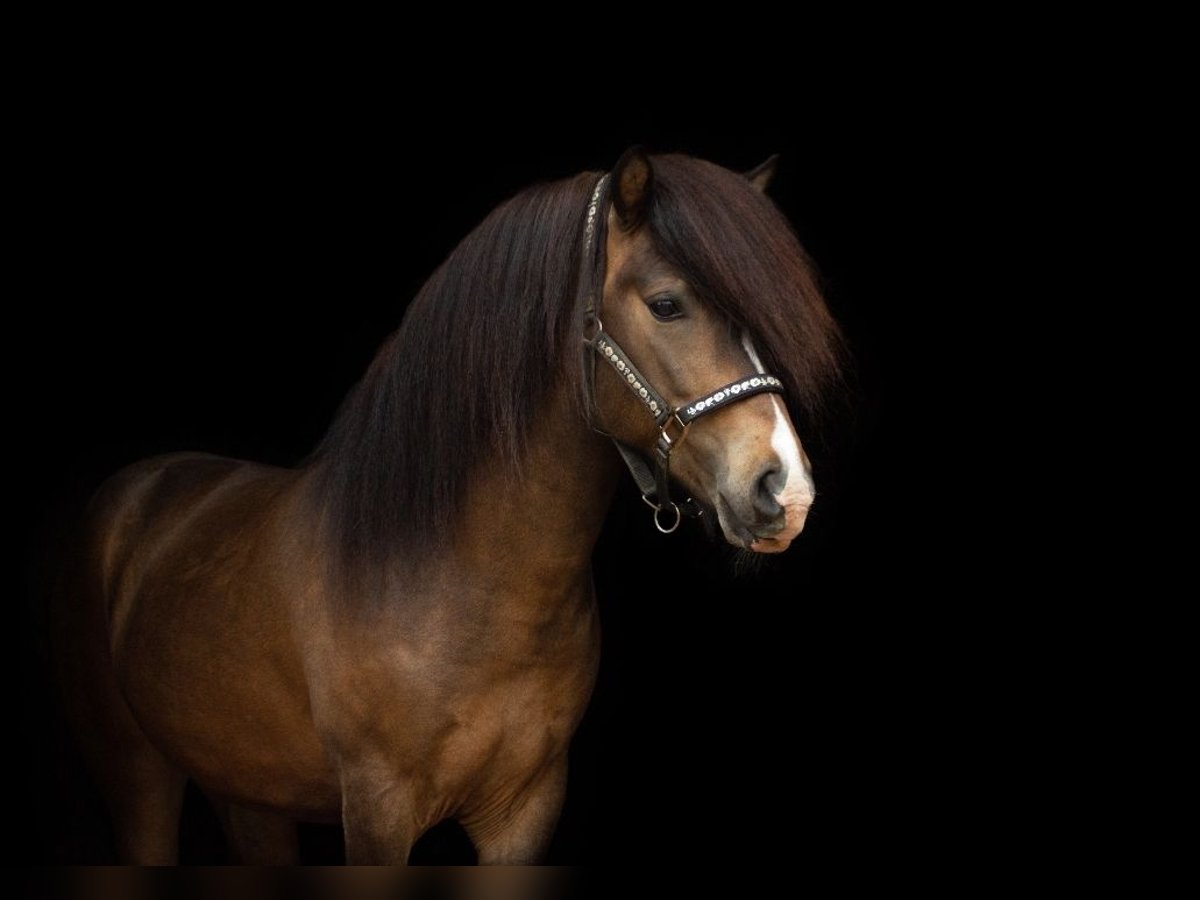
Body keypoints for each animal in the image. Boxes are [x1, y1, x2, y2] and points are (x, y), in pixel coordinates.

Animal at [49, 148, 844, 868]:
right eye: (667, 304)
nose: (786, 488)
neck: (456, 579)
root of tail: (135, 491)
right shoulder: (377, 812)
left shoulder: (526, 811)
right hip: (137, 775)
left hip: (248, 794)